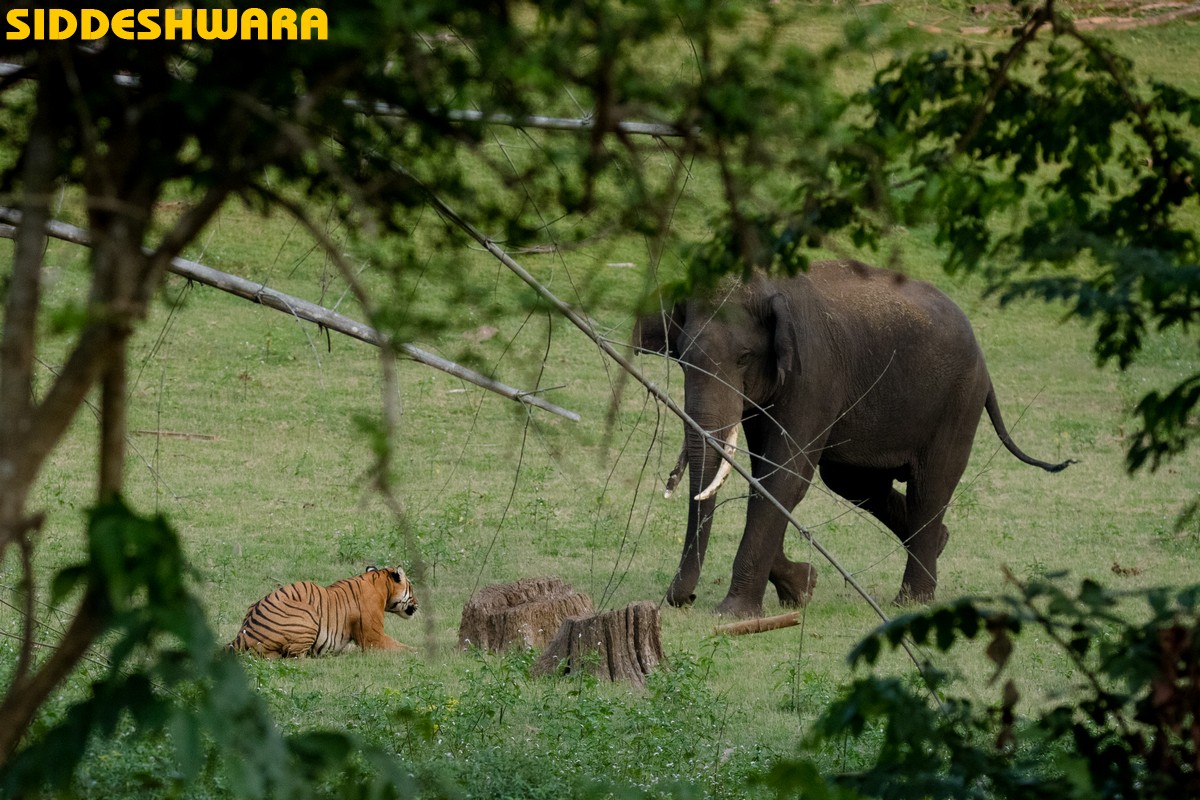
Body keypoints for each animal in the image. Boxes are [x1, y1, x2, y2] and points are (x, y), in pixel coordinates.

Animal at [226, 563, 420, 657]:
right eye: (412, 587)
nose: (418, 604)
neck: (381, 585)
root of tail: (242, 635)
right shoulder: (374, 639)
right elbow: (404, 647)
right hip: (308, 615)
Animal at [633, 260, 1075, 618]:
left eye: (743, 358)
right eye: (681, 357)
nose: (681, 599)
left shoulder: (814, 373)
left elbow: (785, 477)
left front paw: (734, 613)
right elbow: (768, 479)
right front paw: (802, 588)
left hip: (958, 401)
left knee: (930, 486)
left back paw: (911, 600)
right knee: (855, 482)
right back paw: (940, 542)